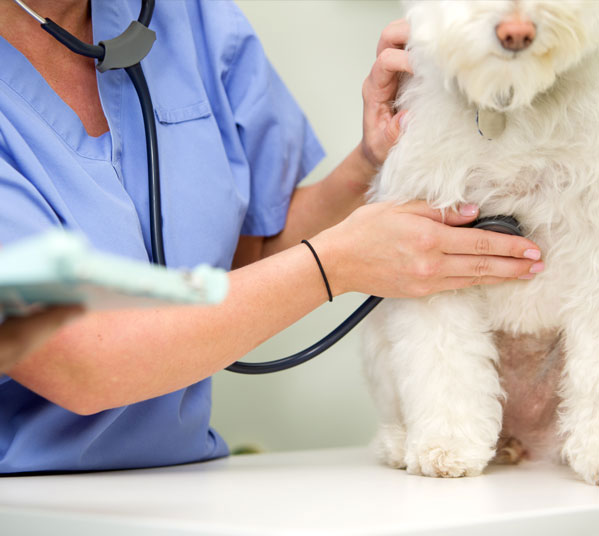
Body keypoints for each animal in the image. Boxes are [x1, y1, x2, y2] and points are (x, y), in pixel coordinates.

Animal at [364, 0, 599, 484]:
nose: (516, 32)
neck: (511, 101)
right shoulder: (433, 253)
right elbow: (445, 362)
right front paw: (446, 447)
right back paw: (400, 444)